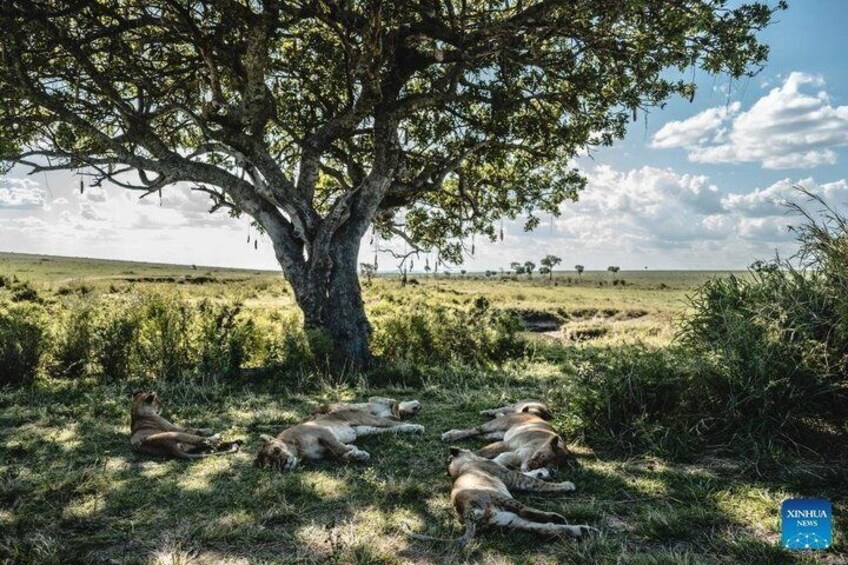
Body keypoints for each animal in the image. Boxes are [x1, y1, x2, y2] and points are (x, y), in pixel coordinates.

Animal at [254, 408, 424, 471]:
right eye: (272, 464)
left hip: (368, 420)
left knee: (396, 423)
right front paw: (356, 454)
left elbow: (338, 447)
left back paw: (417, 427)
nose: (284, 462)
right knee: (392, 429)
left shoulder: (323, 431)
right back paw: (411, 429)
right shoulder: (326, 453)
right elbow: (339, 455)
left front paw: (354, 451)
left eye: (276, 450)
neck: (298, 450)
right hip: (366, 430)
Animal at [407, 448, 589, 547]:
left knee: (542, 528)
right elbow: (536, 482)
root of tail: (466, 512)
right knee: (527, 510)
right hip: (500, 497)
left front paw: (545, 471)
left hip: (507, 520)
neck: (460, 468)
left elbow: (529, 473)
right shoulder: (513, 478)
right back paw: (559, 518)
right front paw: (565, 484)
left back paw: (582, 530)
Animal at [441, 403, 576, 474]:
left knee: (481, 435)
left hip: (497, 434)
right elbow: (482, 451)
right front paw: (452, 457)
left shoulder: (513, 452)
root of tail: (528, 413)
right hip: (498, 424)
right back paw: (450, 435)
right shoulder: (508, 444)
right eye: (541, 456)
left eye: (548, 467)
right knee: (474, 429)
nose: (530, 468)